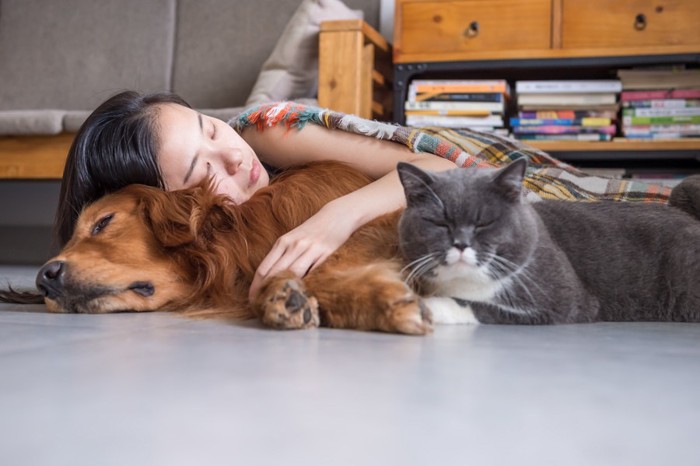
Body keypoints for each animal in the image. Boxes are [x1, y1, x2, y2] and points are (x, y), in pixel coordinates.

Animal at [396, 159, 700, 324]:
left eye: (484, 223)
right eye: (439, 223)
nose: (460, 243)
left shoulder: (566, 300)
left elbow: (480, 307)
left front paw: (429, 307)